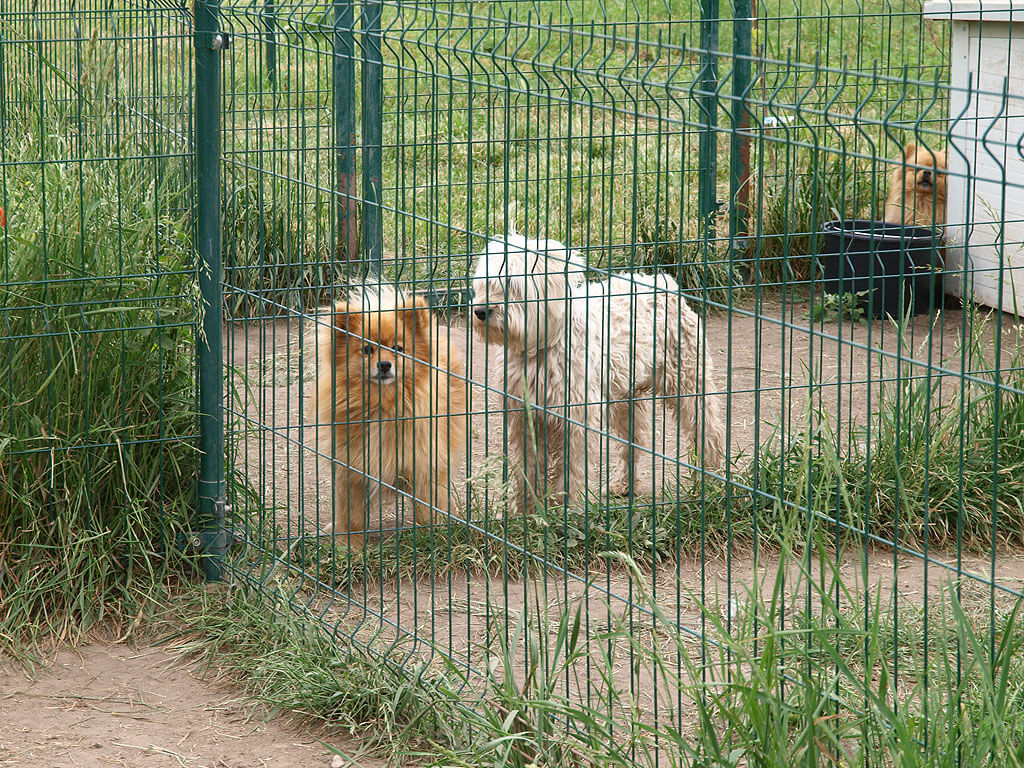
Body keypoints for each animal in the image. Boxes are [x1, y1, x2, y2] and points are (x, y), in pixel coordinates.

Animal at [311, 286, 466, 547]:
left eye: (398, 349)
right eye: (367, 350)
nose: (384, 365)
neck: (383, 407)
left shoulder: (424, 464)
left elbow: (428, 506)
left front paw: (432, 536)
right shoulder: (353, 467)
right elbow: (350, 513)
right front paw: (348, 545)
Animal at [471, 233, 725, 509]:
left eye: (512, 284)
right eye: (485, 283)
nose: (480, 311)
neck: (541, 345)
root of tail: (664, 283)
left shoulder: (577, 418)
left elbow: (572, 467)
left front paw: (567, 506)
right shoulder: (523, 417)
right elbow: (526, 469)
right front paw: (526, 509)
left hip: (689, 383)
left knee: (709, 430)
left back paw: (713, 481)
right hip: (625, 399)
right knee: (634, 443)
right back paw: (623, 484)